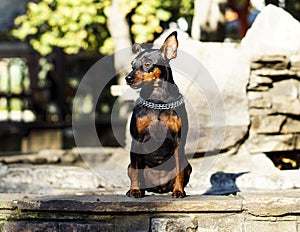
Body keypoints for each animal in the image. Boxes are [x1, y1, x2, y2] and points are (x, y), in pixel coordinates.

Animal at [125, 31, 191, 198]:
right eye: (132, 64)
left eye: (148, 64)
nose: (128, 78)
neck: (157, 100)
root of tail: (159, 188)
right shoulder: (137, 139)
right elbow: (135, 171)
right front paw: (135, 190)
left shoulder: (178, 140)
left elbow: (179, 172)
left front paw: (178, 191)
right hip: (130, 165)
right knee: (133, 171)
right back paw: (136, 190)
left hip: (188, 165)